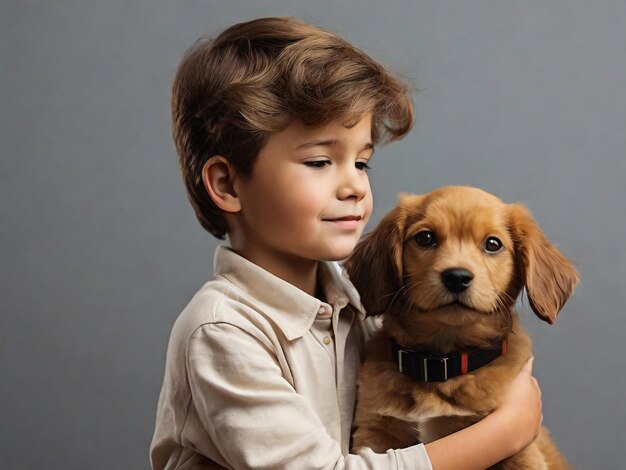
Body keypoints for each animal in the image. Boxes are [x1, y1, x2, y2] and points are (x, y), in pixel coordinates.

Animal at [344, 185, 576, 468]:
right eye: (425, 238)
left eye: (492, 244)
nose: (457, 277)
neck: (440, 363)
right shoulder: (375, 433)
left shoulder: (520, 452)